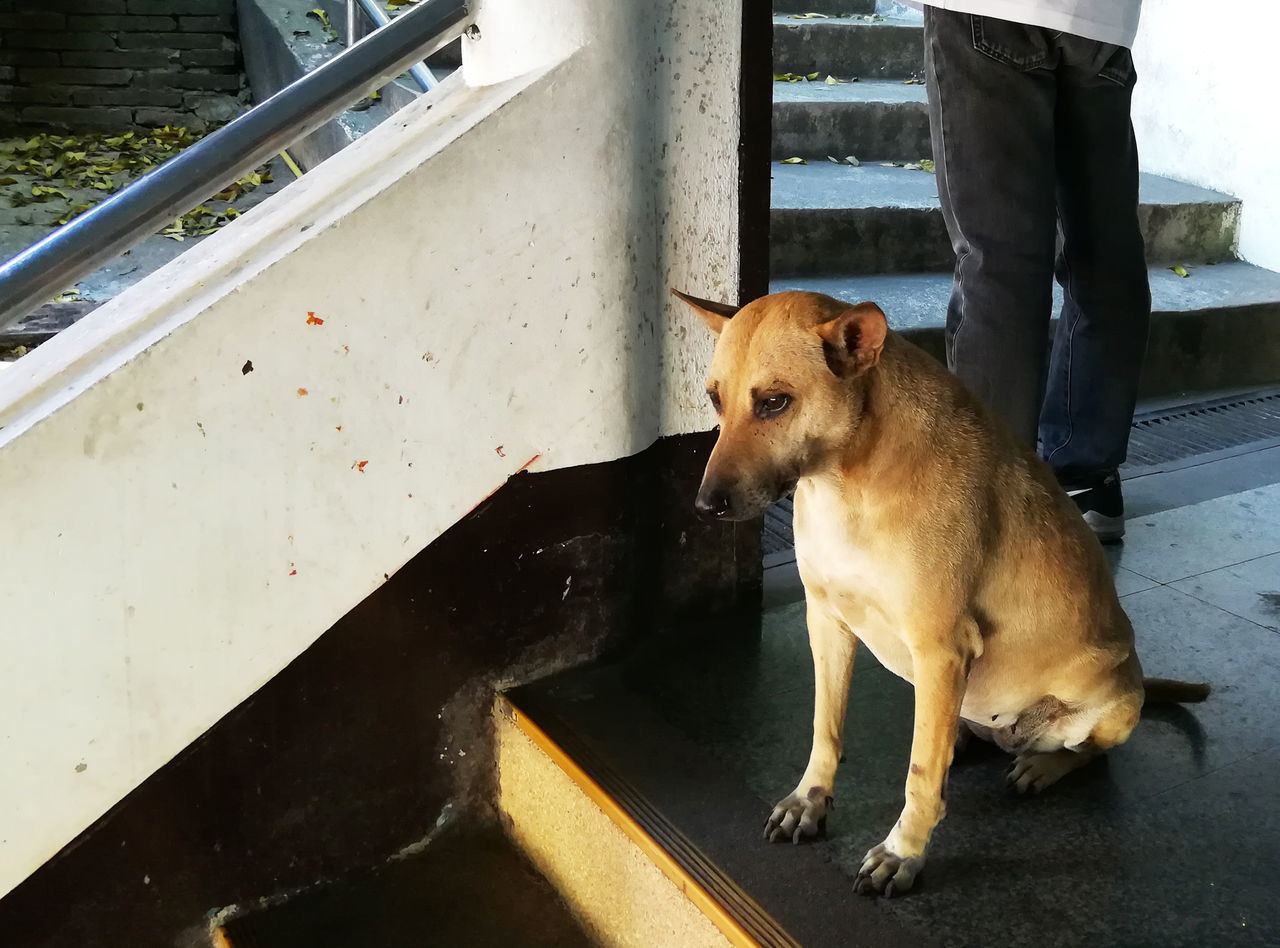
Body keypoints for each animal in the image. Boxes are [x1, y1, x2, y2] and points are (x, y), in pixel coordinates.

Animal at [675, 287, 1203, 895]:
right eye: (714, 399)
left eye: (775, 402)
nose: (705, 506)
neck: (846, 480)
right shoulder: (827, 623)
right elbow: (825, 728)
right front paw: (811, 798)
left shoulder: (940, 648)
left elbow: (921, 776)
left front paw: (903, 850)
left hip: (1106, 708)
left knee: (1088, 754)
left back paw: (1042, 765)